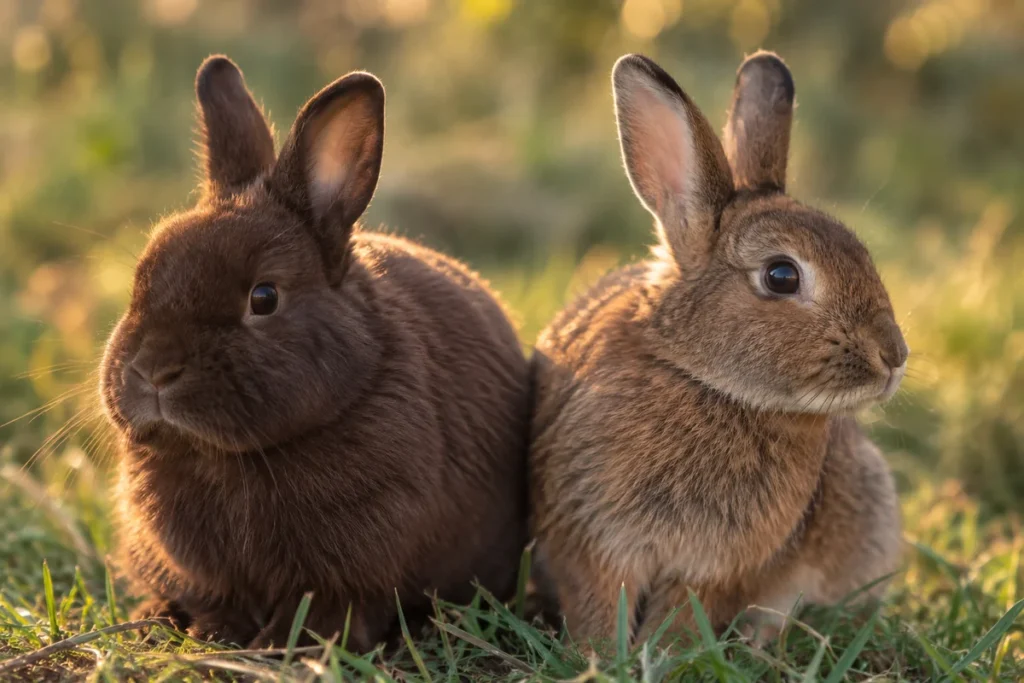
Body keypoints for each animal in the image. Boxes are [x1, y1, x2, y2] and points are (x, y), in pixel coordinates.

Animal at [98, 55, 530, 651]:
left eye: (264, 298)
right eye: (140, 280)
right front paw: (217, 635)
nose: (153, 372)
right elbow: (219, 599)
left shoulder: (354, 564)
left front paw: (287, 644)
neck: (232, 456)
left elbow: (333, 606)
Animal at [529, 51, 907, 649]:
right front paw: (601, 655)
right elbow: (598, 601)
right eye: (781, 276)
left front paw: (663, 655)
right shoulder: (589, 536)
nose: (894, 356)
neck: (702, 379)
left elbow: (687, 612)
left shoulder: (717, 567)